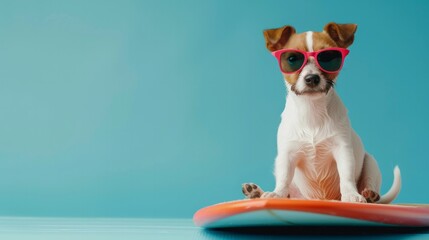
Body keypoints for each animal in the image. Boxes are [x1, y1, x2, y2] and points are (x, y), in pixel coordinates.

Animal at [242, 22, 400, 202]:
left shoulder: (343, 150)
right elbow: (284, 177)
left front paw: (351, 194)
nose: (312, 78)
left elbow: (346, 176)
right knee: (289, 192)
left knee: (369, 180)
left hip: (371, 163)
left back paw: (369, 194)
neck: (312, 110)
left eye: (329, 58)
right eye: (292, 59)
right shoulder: (287, 154)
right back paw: (256, 192)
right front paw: (277, 193)